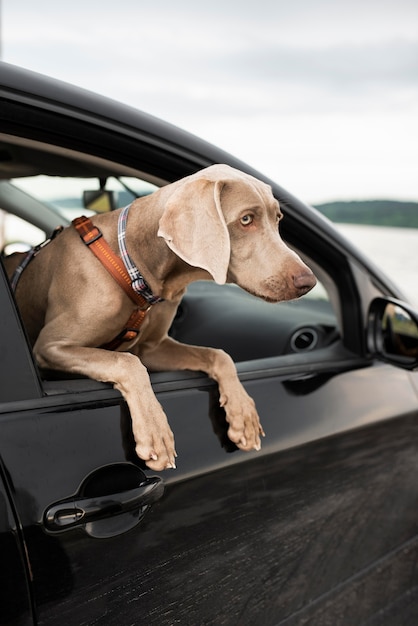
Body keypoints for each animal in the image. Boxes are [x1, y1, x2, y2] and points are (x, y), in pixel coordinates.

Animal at [4, 166, 316, 468]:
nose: (309, 282)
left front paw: (243, 414)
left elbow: (218, 354)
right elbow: (127, 363)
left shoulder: (153, 348)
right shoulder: (50, 346)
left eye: (278, 219)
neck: (135, 264)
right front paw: (155, 433)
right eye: (246, 219)